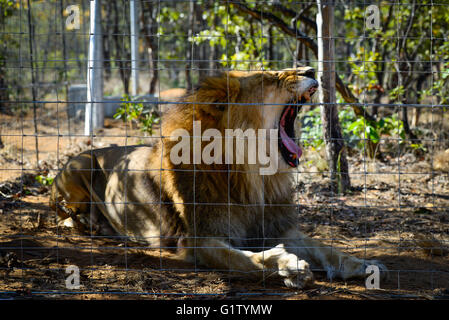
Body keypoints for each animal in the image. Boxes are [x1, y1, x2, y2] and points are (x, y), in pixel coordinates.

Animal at [48, 67, 384, 288]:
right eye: (270, 78)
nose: (312, 68)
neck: (256, 177)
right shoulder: (199, 240)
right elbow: (245, 260)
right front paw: (287, 264)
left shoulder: (279, 227)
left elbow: (323, 246)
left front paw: (362, 265)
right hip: (81, 165)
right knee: (62, 215)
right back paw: (89, 223)